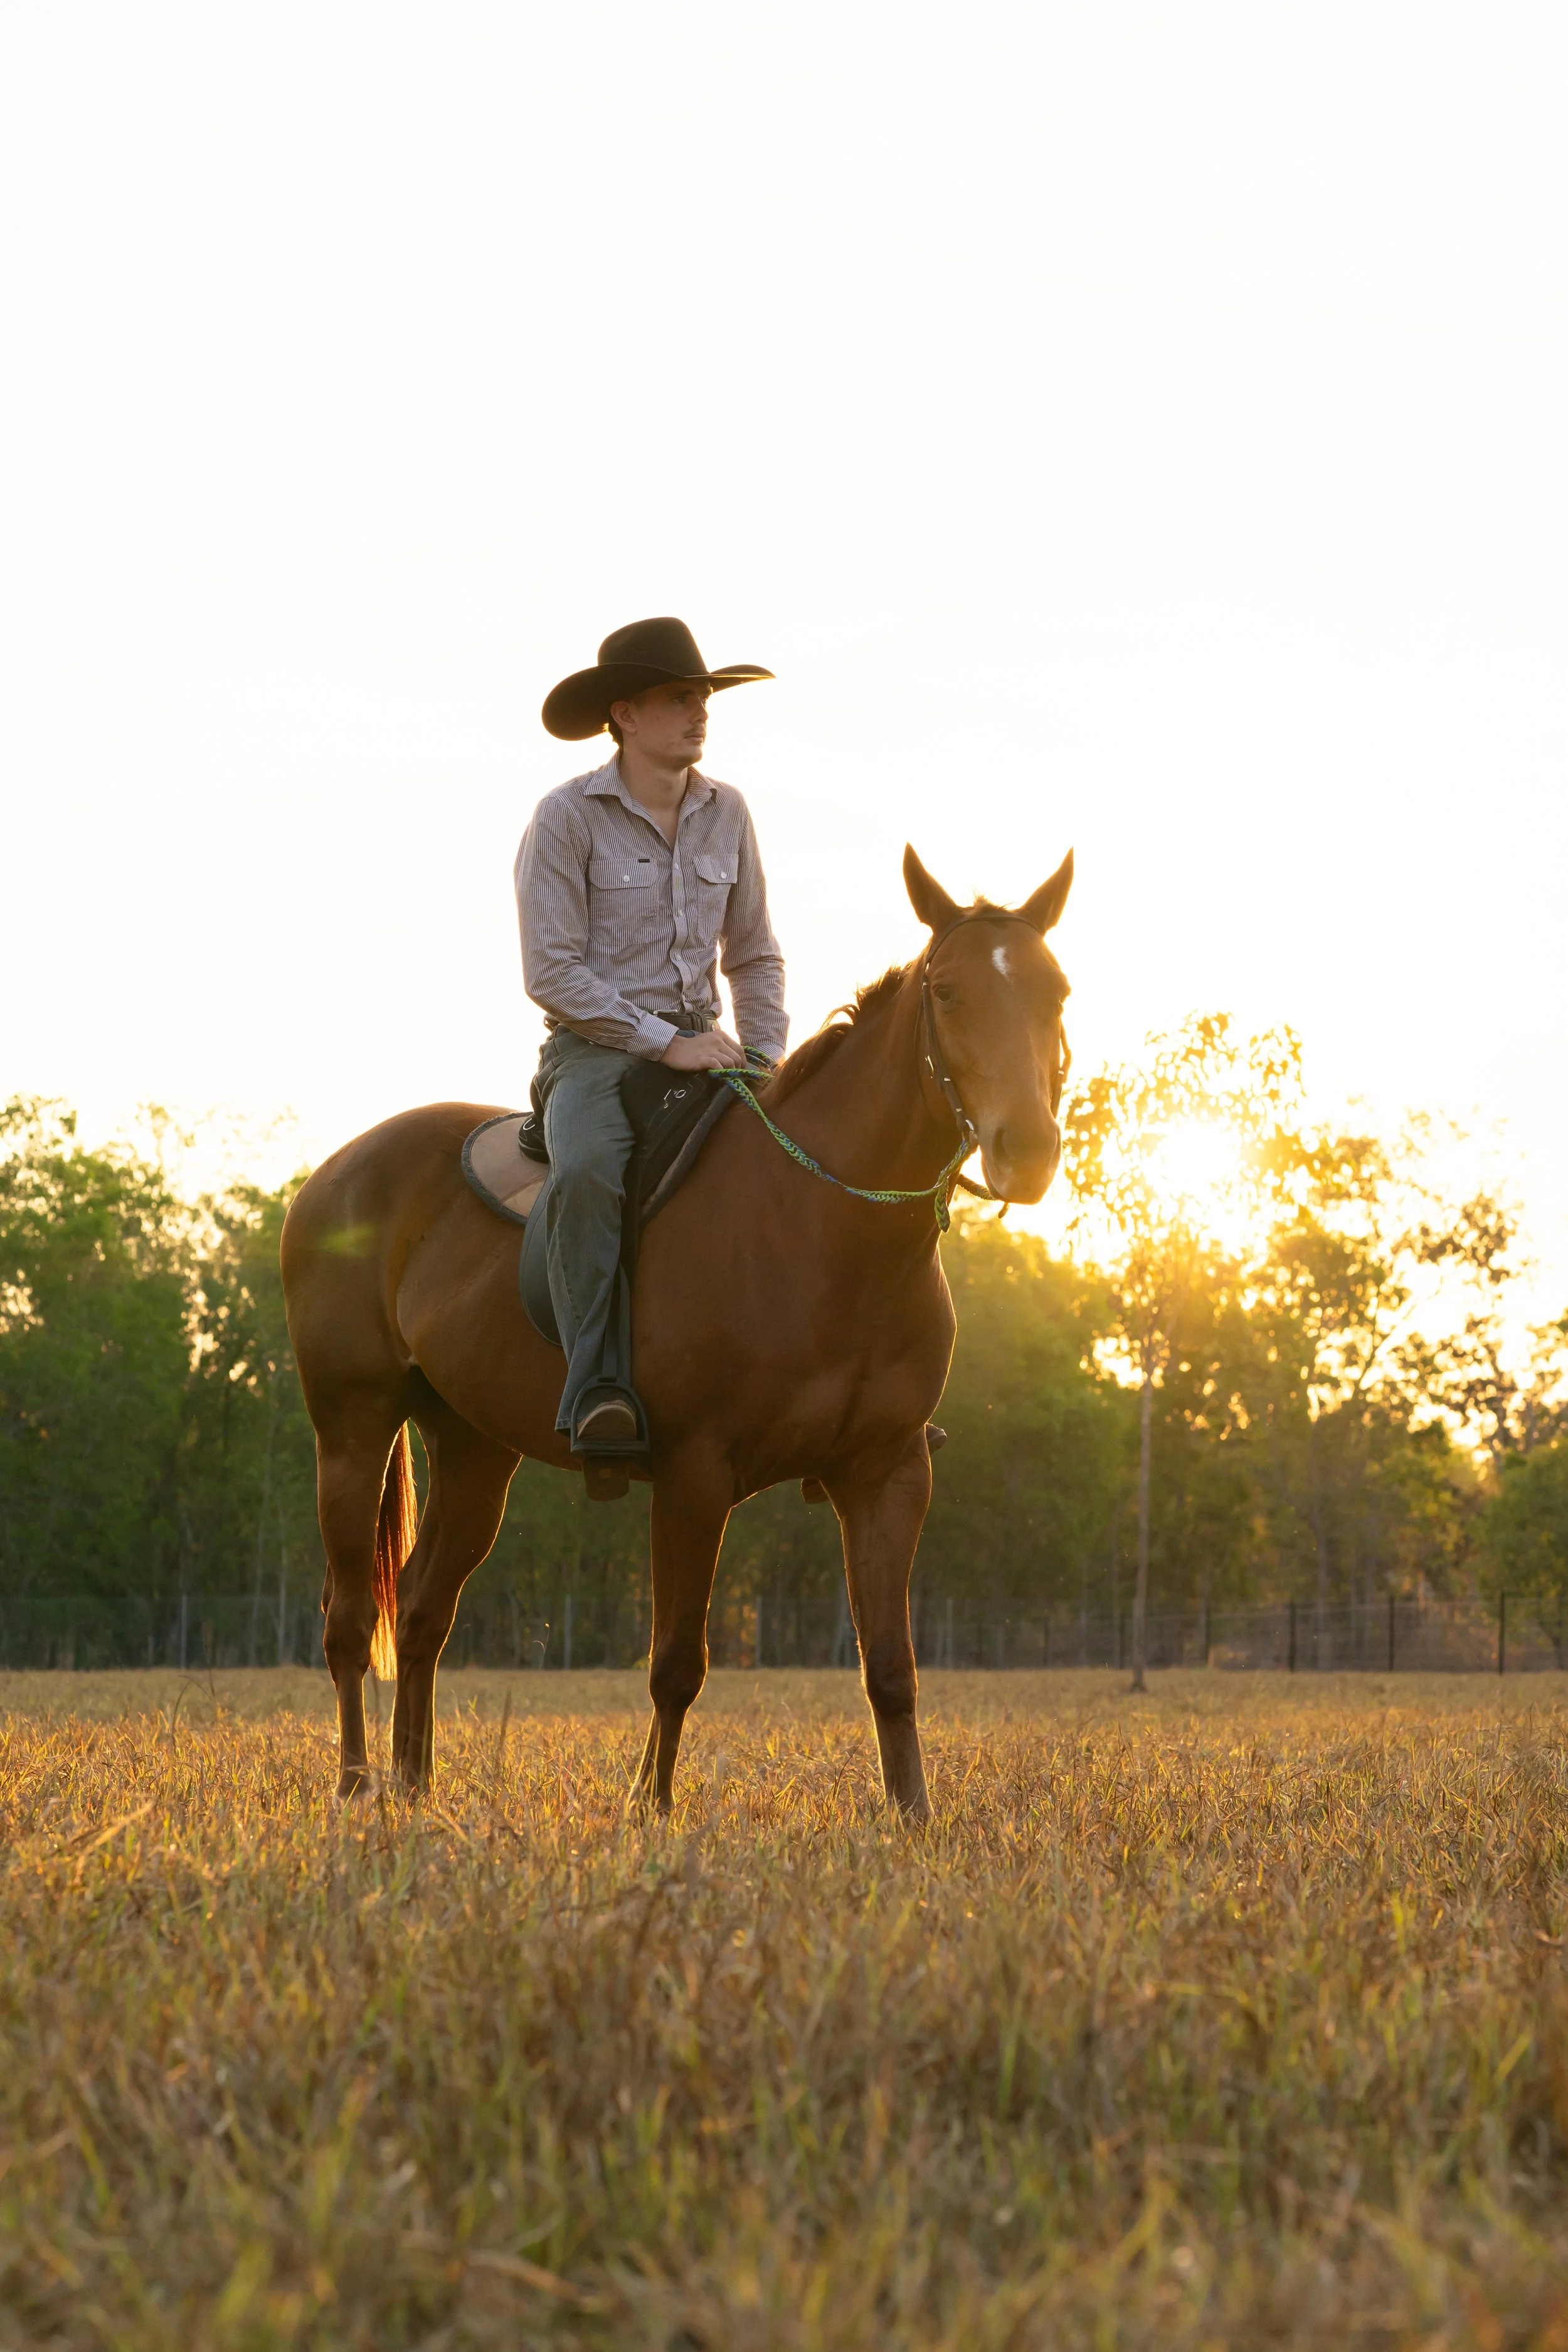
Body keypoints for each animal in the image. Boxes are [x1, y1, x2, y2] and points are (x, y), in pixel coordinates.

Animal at [279, 845, 1074, 1819]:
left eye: (1056, 991)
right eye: (950, 992)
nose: (1026, 1149)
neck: (819, 1229)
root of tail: (333, 1174)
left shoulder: (888, 1474)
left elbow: (891, 1668)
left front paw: (915, 1819)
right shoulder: (696, 1475)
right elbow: (676, 1666)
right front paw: (649, 1812)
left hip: (472, 1450)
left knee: (426, 1613)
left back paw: (416, 1784)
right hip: (352, 1432)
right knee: (352, 1624)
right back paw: (358, 1787)